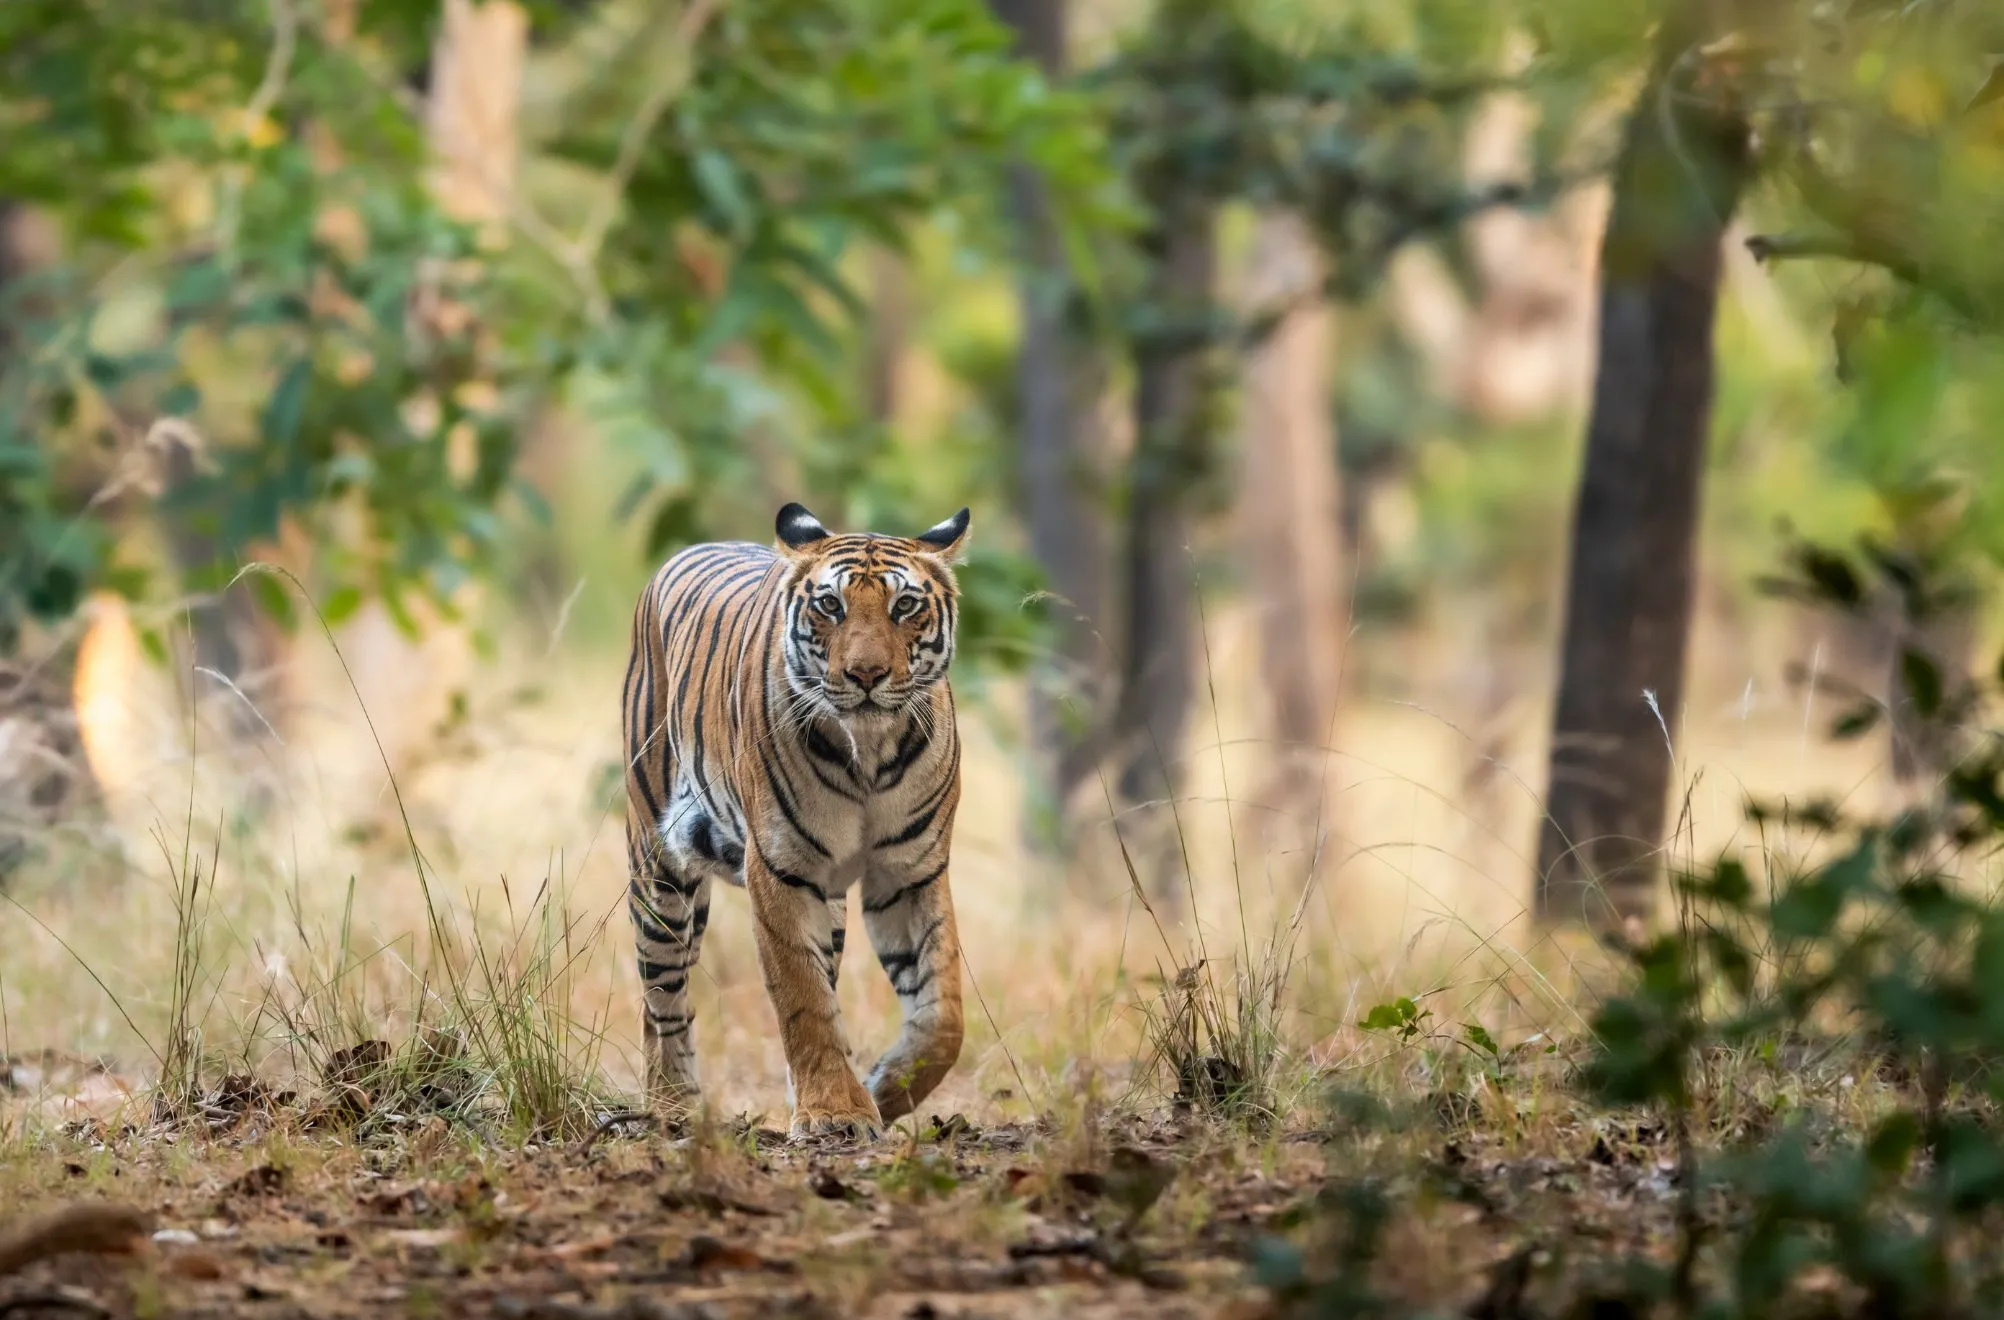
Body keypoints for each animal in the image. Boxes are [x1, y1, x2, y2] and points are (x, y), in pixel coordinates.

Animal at [622, 502, 970, 1140]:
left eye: (904, 606)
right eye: (829, 606)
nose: (866, 674)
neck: (869, 752)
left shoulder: (910, 873)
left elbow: (944, 1014)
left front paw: (883, 1088)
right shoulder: (782, 867)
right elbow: (802, 997)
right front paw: (834, 1111)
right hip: (658, 871)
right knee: (662, 998)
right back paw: (672, 1105)